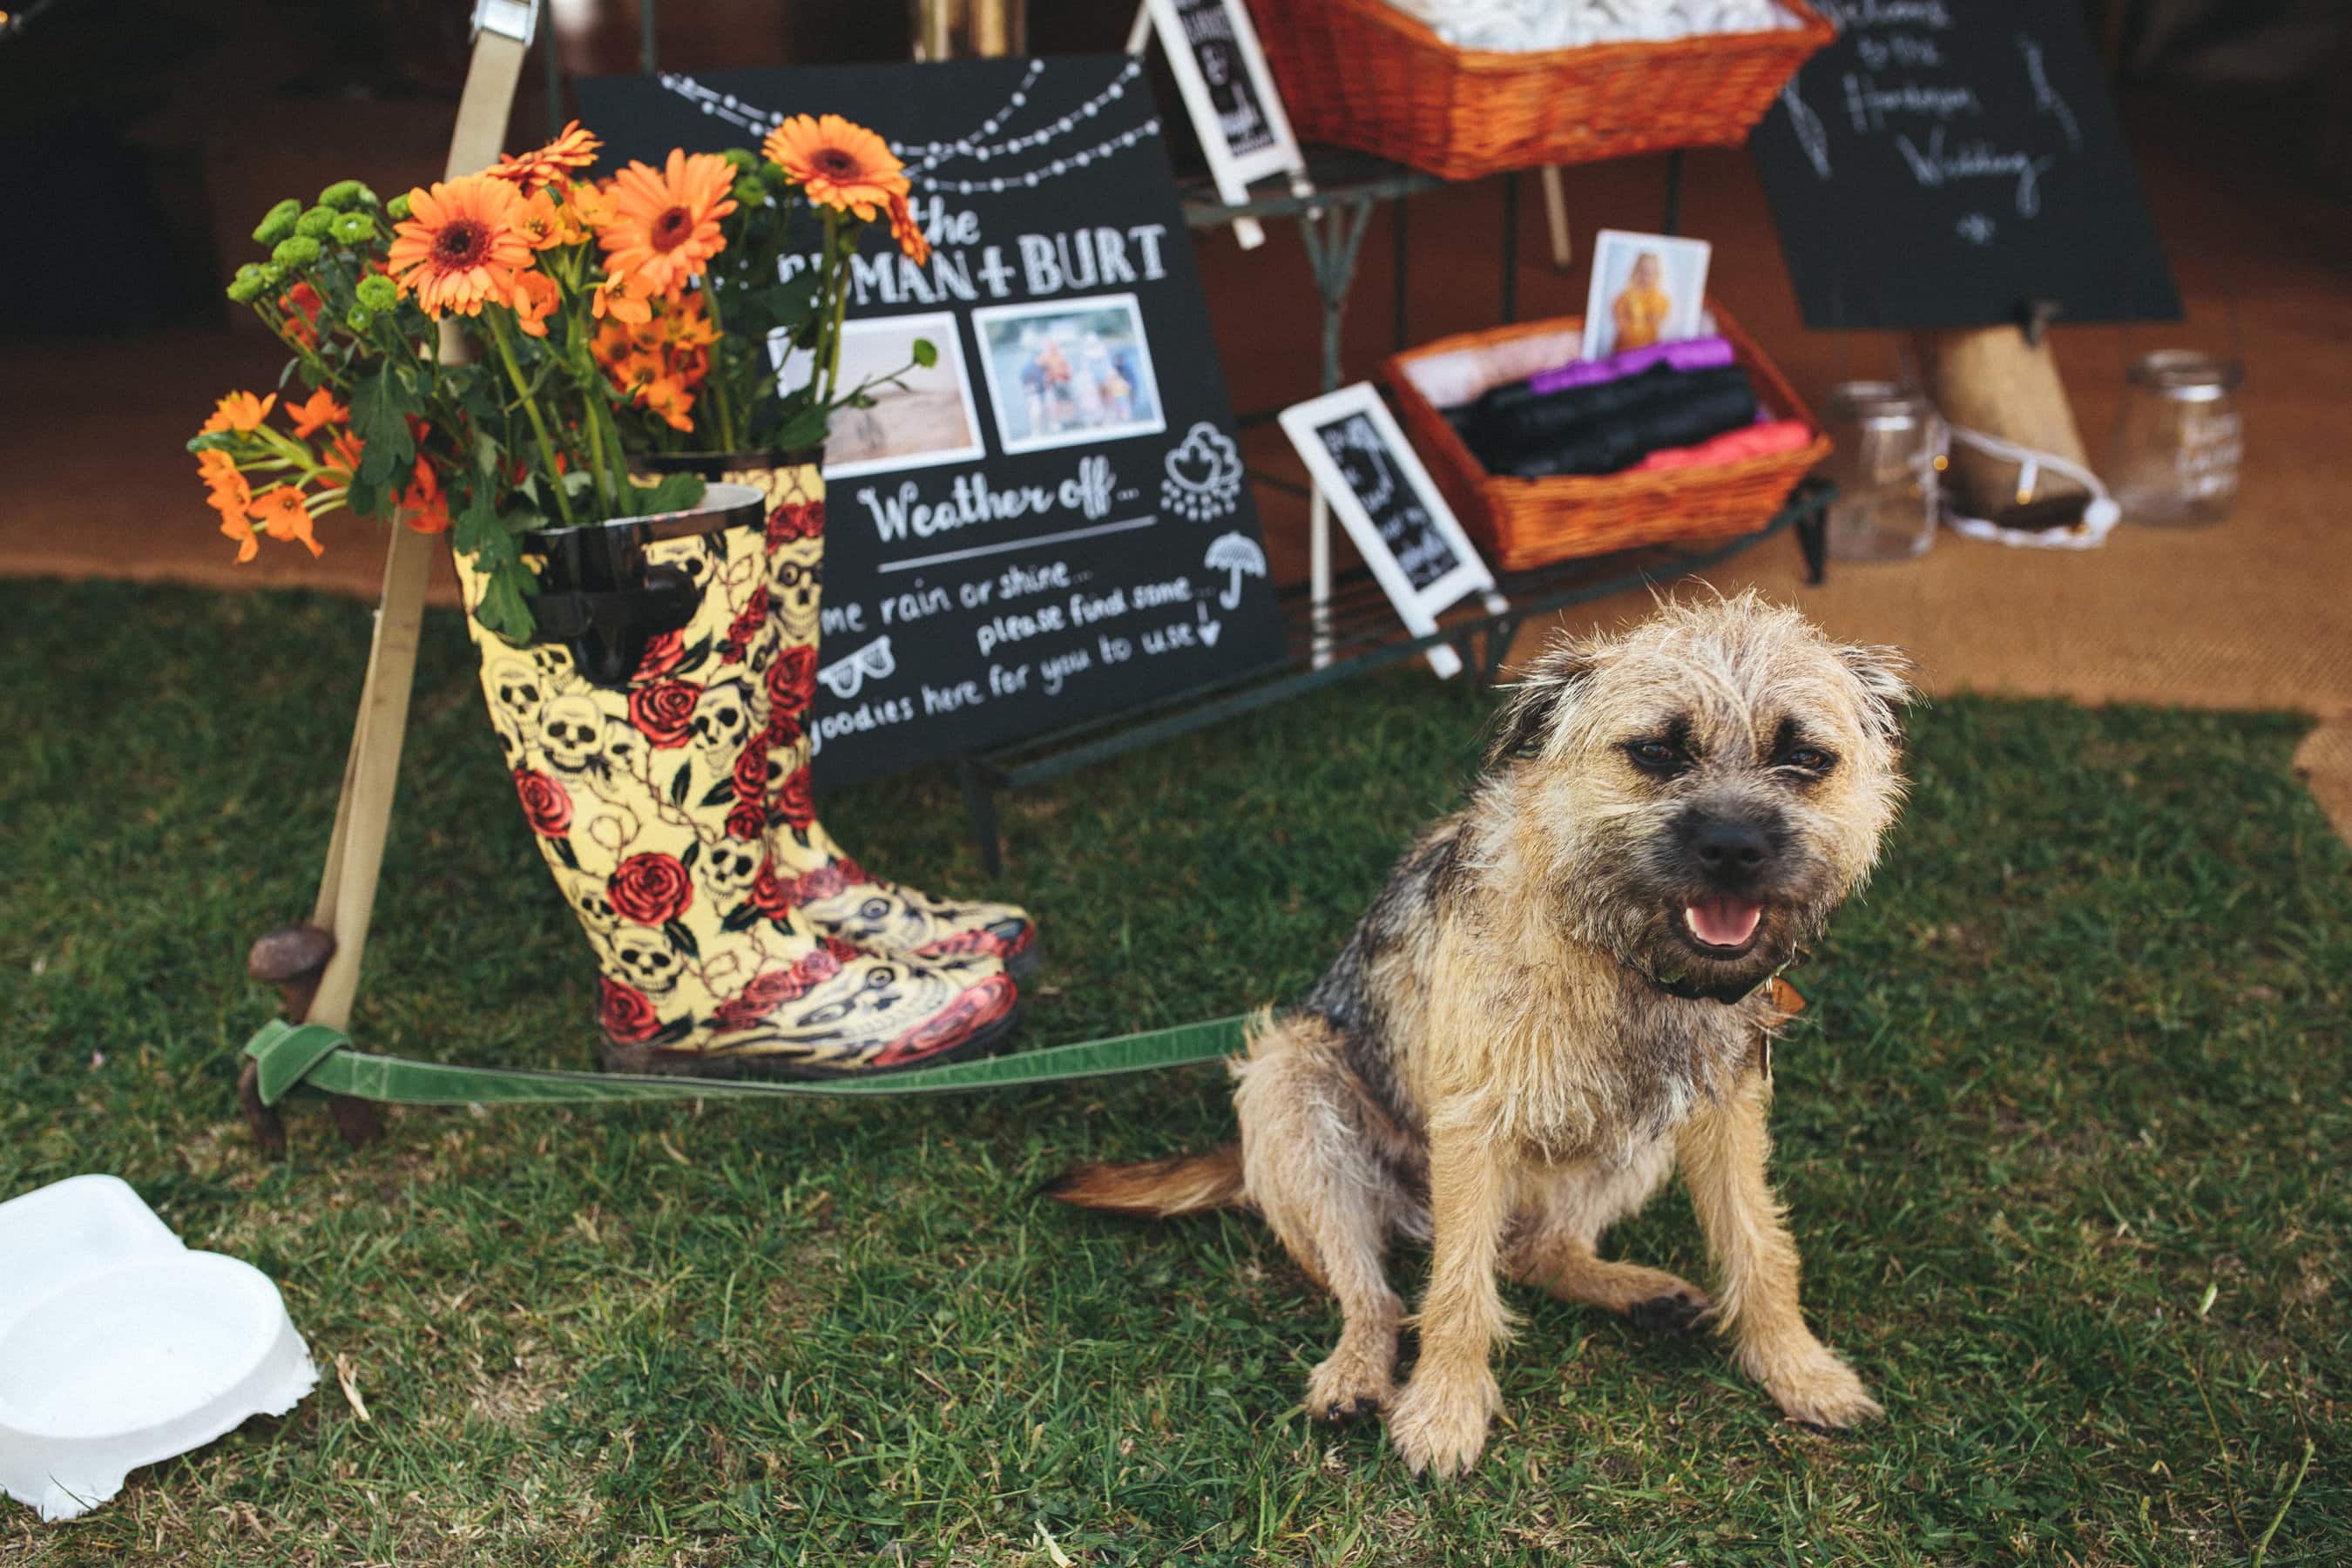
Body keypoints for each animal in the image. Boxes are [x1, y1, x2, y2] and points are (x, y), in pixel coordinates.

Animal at [1049, 594, 1909, 1476]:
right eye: (1658, 751)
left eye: (1803, 756)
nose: (1735, 847)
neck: (1617, 953)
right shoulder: (1472, 1121)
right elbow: (1457, 1286)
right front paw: (1444, 1409)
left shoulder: (1723, 1111)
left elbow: (1757, 1242)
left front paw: (1797, 1368)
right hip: (1292, 1084)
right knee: (1375, 1290)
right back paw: (1356, 1373)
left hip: (1635, 1142)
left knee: (1534, 1253)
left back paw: (1641, 1293)